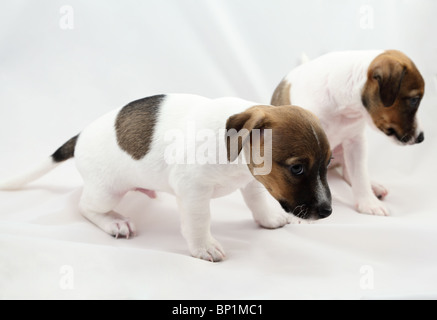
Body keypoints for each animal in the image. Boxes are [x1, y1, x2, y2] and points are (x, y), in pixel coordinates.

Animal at [270, 49, 424, 215]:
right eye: (414, 100)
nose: (421, 137)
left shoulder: (355, 142)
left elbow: (359, 175)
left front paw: (368, 202)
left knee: (349, 173)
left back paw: (373, 187)